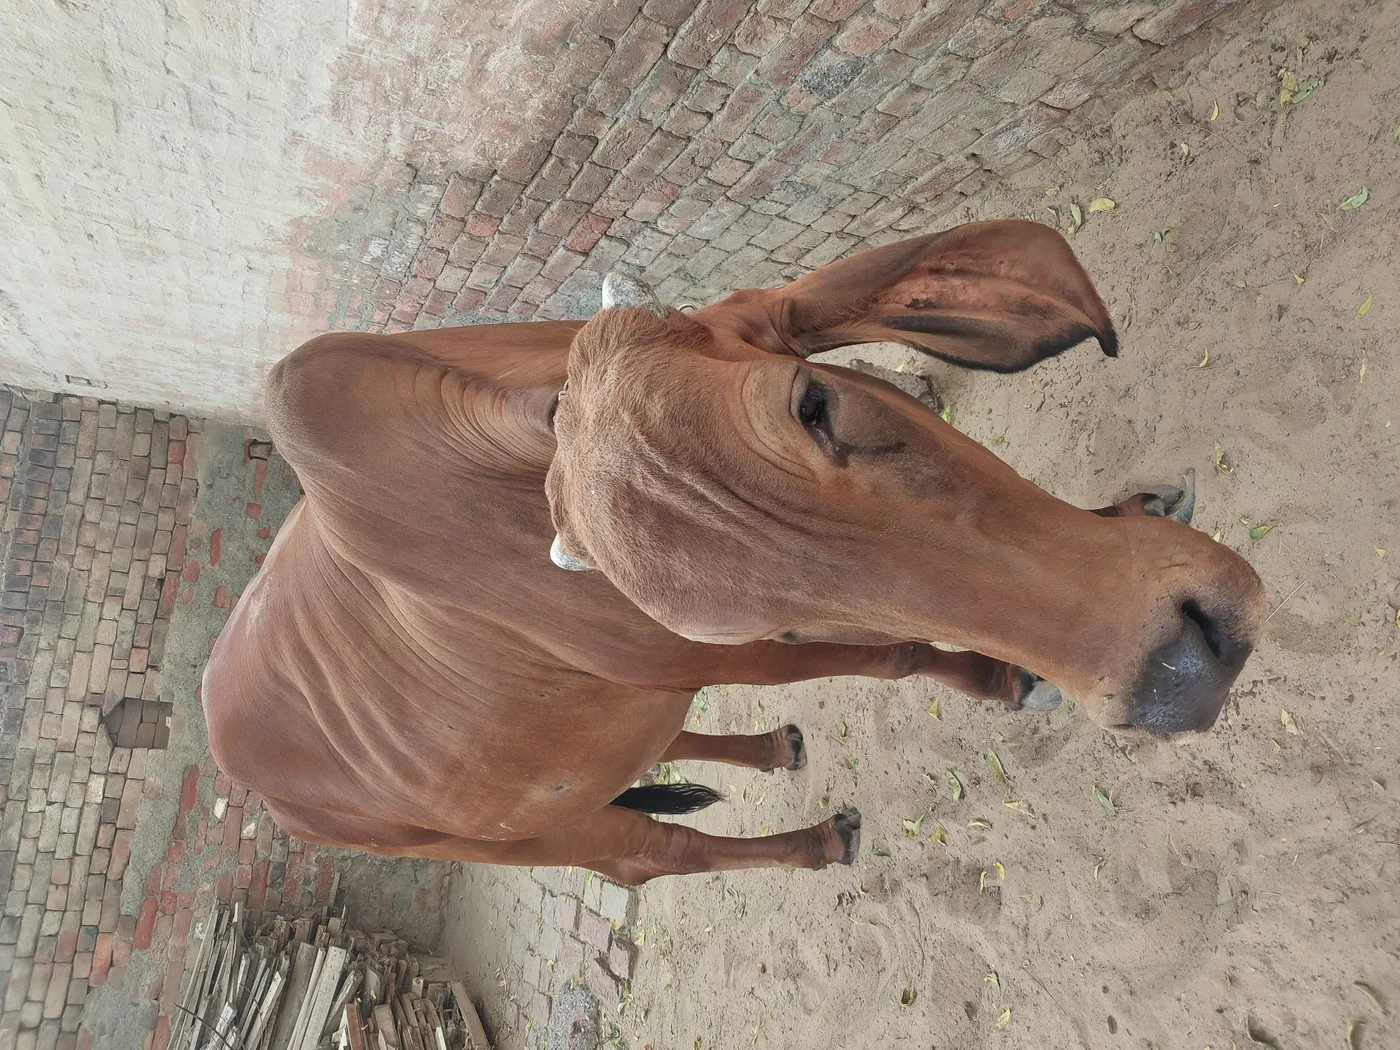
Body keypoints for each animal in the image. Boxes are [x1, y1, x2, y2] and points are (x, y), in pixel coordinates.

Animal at [203, 220, 1265, 885]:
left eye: (818, 402)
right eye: (784, 615)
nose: (1177, 673)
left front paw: (1130, 505)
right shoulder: (731, 657)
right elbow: (897, 652)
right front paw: (1006, 679)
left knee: (672, 744)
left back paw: (769, 746)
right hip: (532, 838)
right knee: (654, 856)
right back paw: (815, 843)